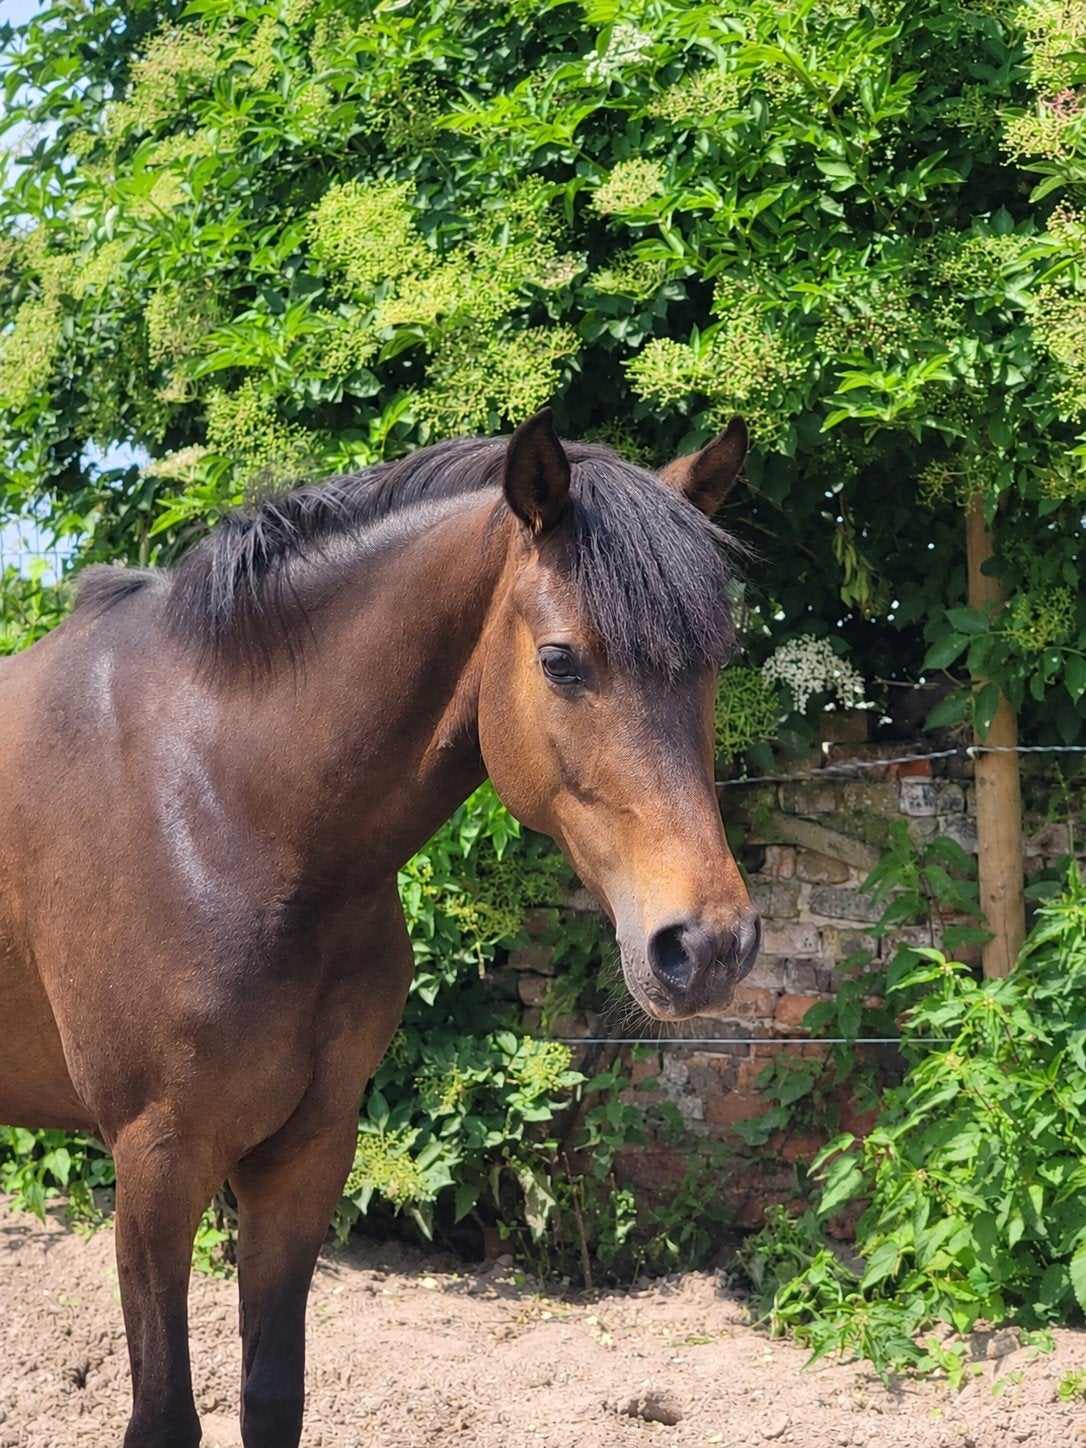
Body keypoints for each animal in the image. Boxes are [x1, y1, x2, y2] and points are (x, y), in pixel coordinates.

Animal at [0, 408, 760, 1447]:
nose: (708, 946)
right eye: (562, 661)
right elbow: (164, 1418)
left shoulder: (308, 1153)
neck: (219, 804)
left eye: (717, 662)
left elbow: (273, 1395)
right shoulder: (156, 1162)